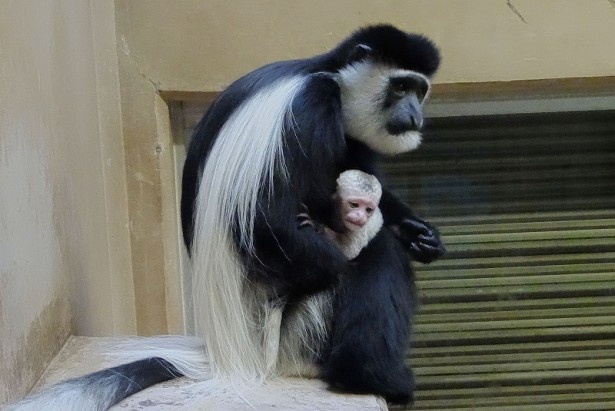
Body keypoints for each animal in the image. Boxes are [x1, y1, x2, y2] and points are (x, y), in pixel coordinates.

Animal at [9, 24, 446, 410]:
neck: (329, 76)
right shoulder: (311, 105)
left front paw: (418, 231)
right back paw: (372, 375)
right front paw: (357, 248)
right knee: (374, 258)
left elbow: (361, 177)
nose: (415, 114)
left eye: (419, 90)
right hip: (294, 332)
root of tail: (231, 355)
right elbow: (267, 219)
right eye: (401, 87)